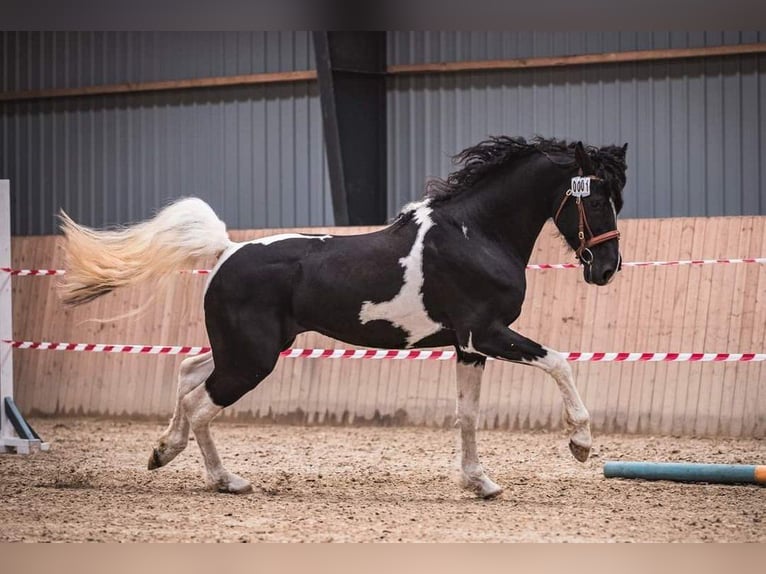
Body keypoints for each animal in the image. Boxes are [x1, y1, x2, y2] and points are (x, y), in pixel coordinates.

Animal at [61, 135, 632, 500]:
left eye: (616, 197)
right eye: (596, 198)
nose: (606, 269)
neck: (476, 234)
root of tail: (226, 251)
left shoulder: (467, 346)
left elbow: (467, 415)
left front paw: (480, 483)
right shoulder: (488, 334)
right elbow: (559, 361)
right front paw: (580, 444)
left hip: (242, 349)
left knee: (186, 376)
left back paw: (163, 451)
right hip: (252, 359)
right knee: (203, 403)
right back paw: (228, 481)